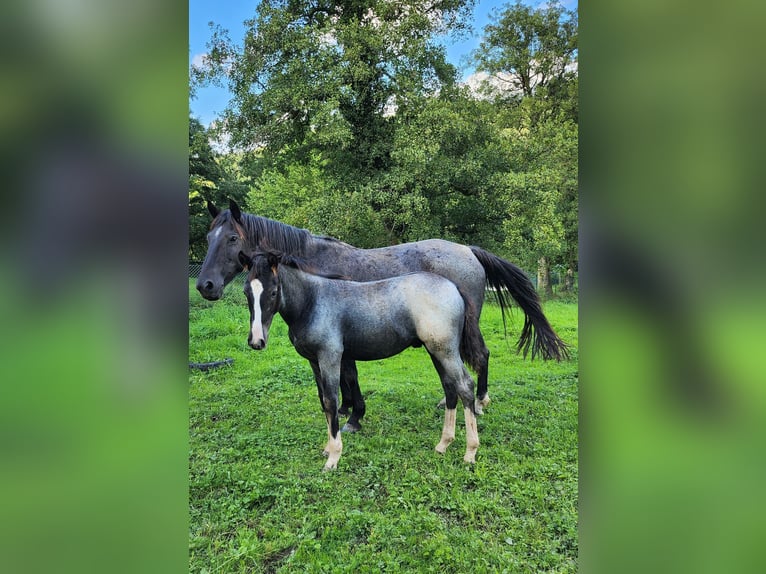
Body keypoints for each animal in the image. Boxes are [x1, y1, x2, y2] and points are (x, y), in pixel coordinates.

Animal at [198, 202, 568, 432]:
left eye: (231, 237)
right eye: (207, 237)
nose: (205, 285)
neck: (313, 264)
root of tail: (468, 250)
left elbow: (349, 378)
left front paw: (354, 415)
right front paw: (345, 410)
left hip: (466, 327)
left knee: (480, 356)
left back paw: (478, 402)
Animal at [240, 253, 484, 472]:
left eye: (273, 292)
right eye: (246, 291)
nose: (256, 341)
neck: (312, 302)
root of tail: (454, 287)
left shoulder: (330, 357)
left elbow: (331, 401)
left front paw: (333, 457)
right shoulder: (314, 361)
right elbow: (323, 401)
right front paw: (328, 448)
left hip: (445, 351)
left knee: (465, 386)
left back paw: (470, 452)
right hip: (436, 350)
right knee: (450, 388)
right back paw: (443, 444)